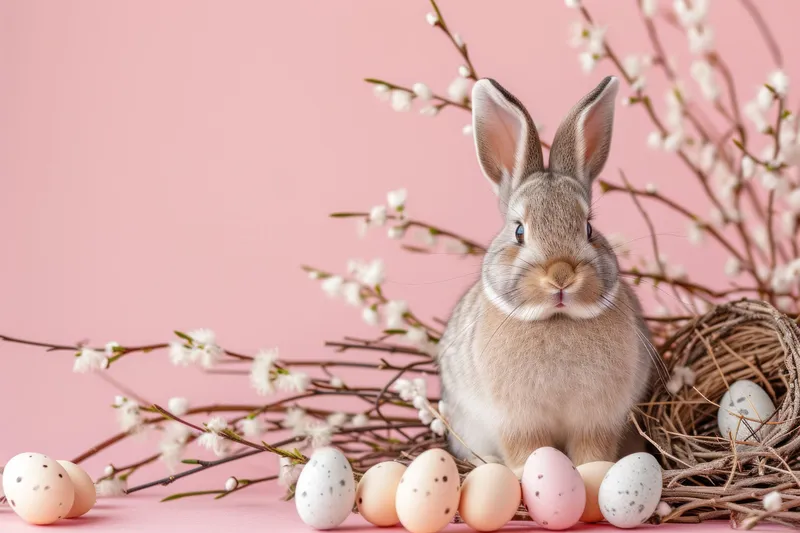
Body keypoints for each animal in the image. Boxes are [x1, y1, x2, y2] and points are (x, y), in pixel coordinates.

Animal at [437, 76, 655, 477]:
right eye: (519, 231)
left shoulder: (598, 420)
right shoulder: (518, 422)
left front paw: (592, 475)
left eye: (588, 228)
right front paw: (527, 474)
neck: (557, 319)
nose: (561, 275)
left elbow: (592, 453)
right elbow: (528, 450)